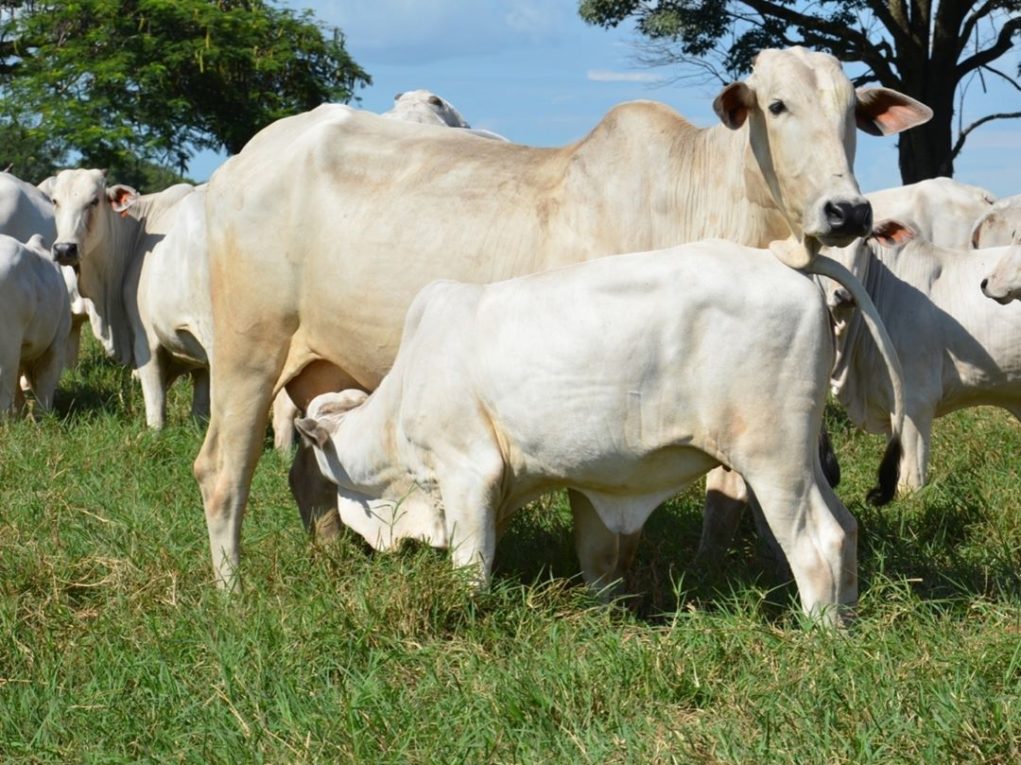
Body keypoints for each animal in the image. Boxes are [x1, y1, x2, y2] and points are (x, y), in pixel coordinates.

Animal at [294, 242, 902, 625]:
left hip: (772, 459)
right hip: (800, 459)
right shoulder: (587, 483)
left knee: (819, 541)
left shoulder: (467, 471)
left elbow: (472, 563)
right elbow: (596, 560)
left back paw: (821, 633)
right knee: (847, 527)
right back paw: (848, 619)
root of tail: (783, 260)